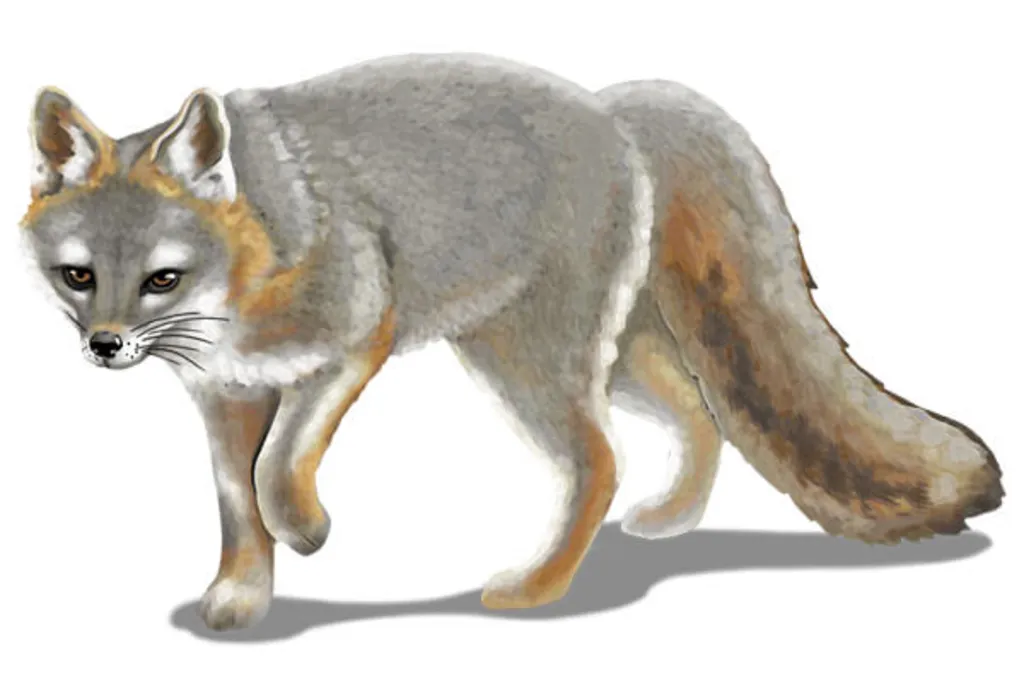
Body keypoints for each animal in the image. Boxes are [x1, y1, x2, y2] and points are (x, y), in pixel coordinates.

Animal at [19, 53, 1003, 631]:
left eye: (161, 280)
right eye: (78, 277)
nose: (106, 346)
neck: (260, 240)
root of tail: (611, 107)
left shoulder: (356, 335)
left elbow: (275, 471)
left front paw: (306, 527)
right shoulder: (226, 393)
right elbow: (236, 504)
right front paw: (243, 593)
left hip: (527, 366)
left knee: (601, 461)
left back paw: (539, 589)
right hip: (603, 355)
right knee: (698, 410)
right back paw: (672, 516)